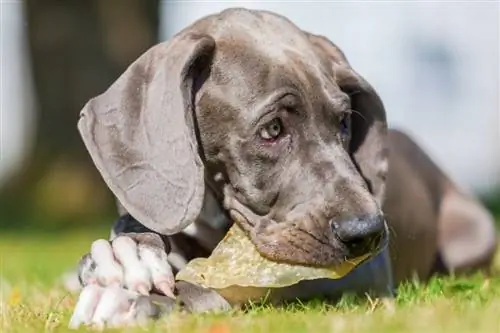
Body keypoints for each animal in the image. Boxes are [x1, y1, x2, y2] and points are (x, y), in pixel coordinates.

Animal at [66, 7, 496, 326]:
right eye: (272, 129)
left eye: (344, 121)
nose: (368, 232)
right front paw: (126, 255)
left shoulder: (358, 274)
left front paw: (141, 302)